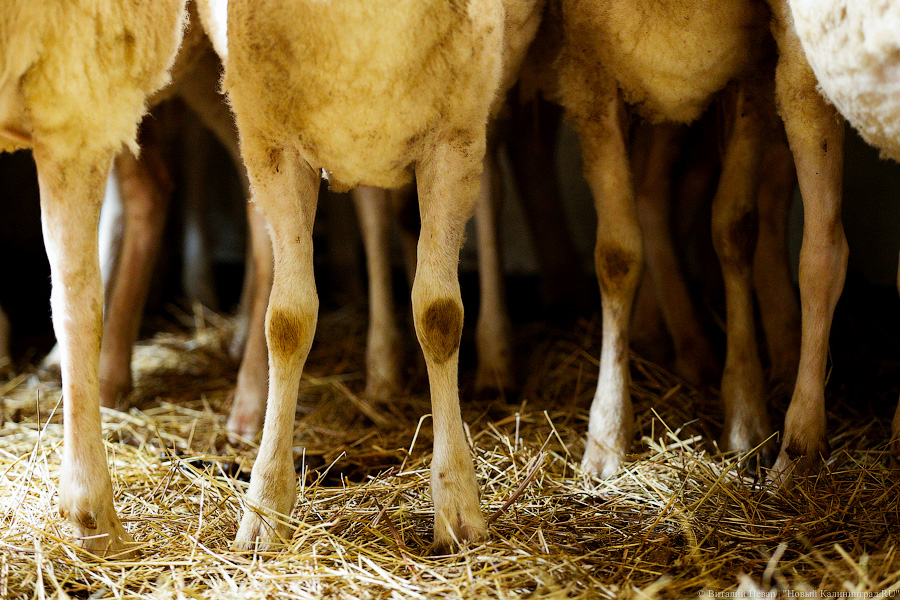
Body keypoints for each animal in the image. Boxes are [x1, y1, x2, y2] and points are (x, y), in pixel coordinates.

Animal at [219, 0, 542, 550]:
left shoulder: (454, 133)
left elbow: (439, 314)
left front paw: (459, 506)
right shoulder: (270, 140)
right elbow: (286, 323)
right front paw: (264, 509)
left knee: (492, 191)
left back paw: (495, 358)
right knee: (371, 209)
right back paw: (383, 367)